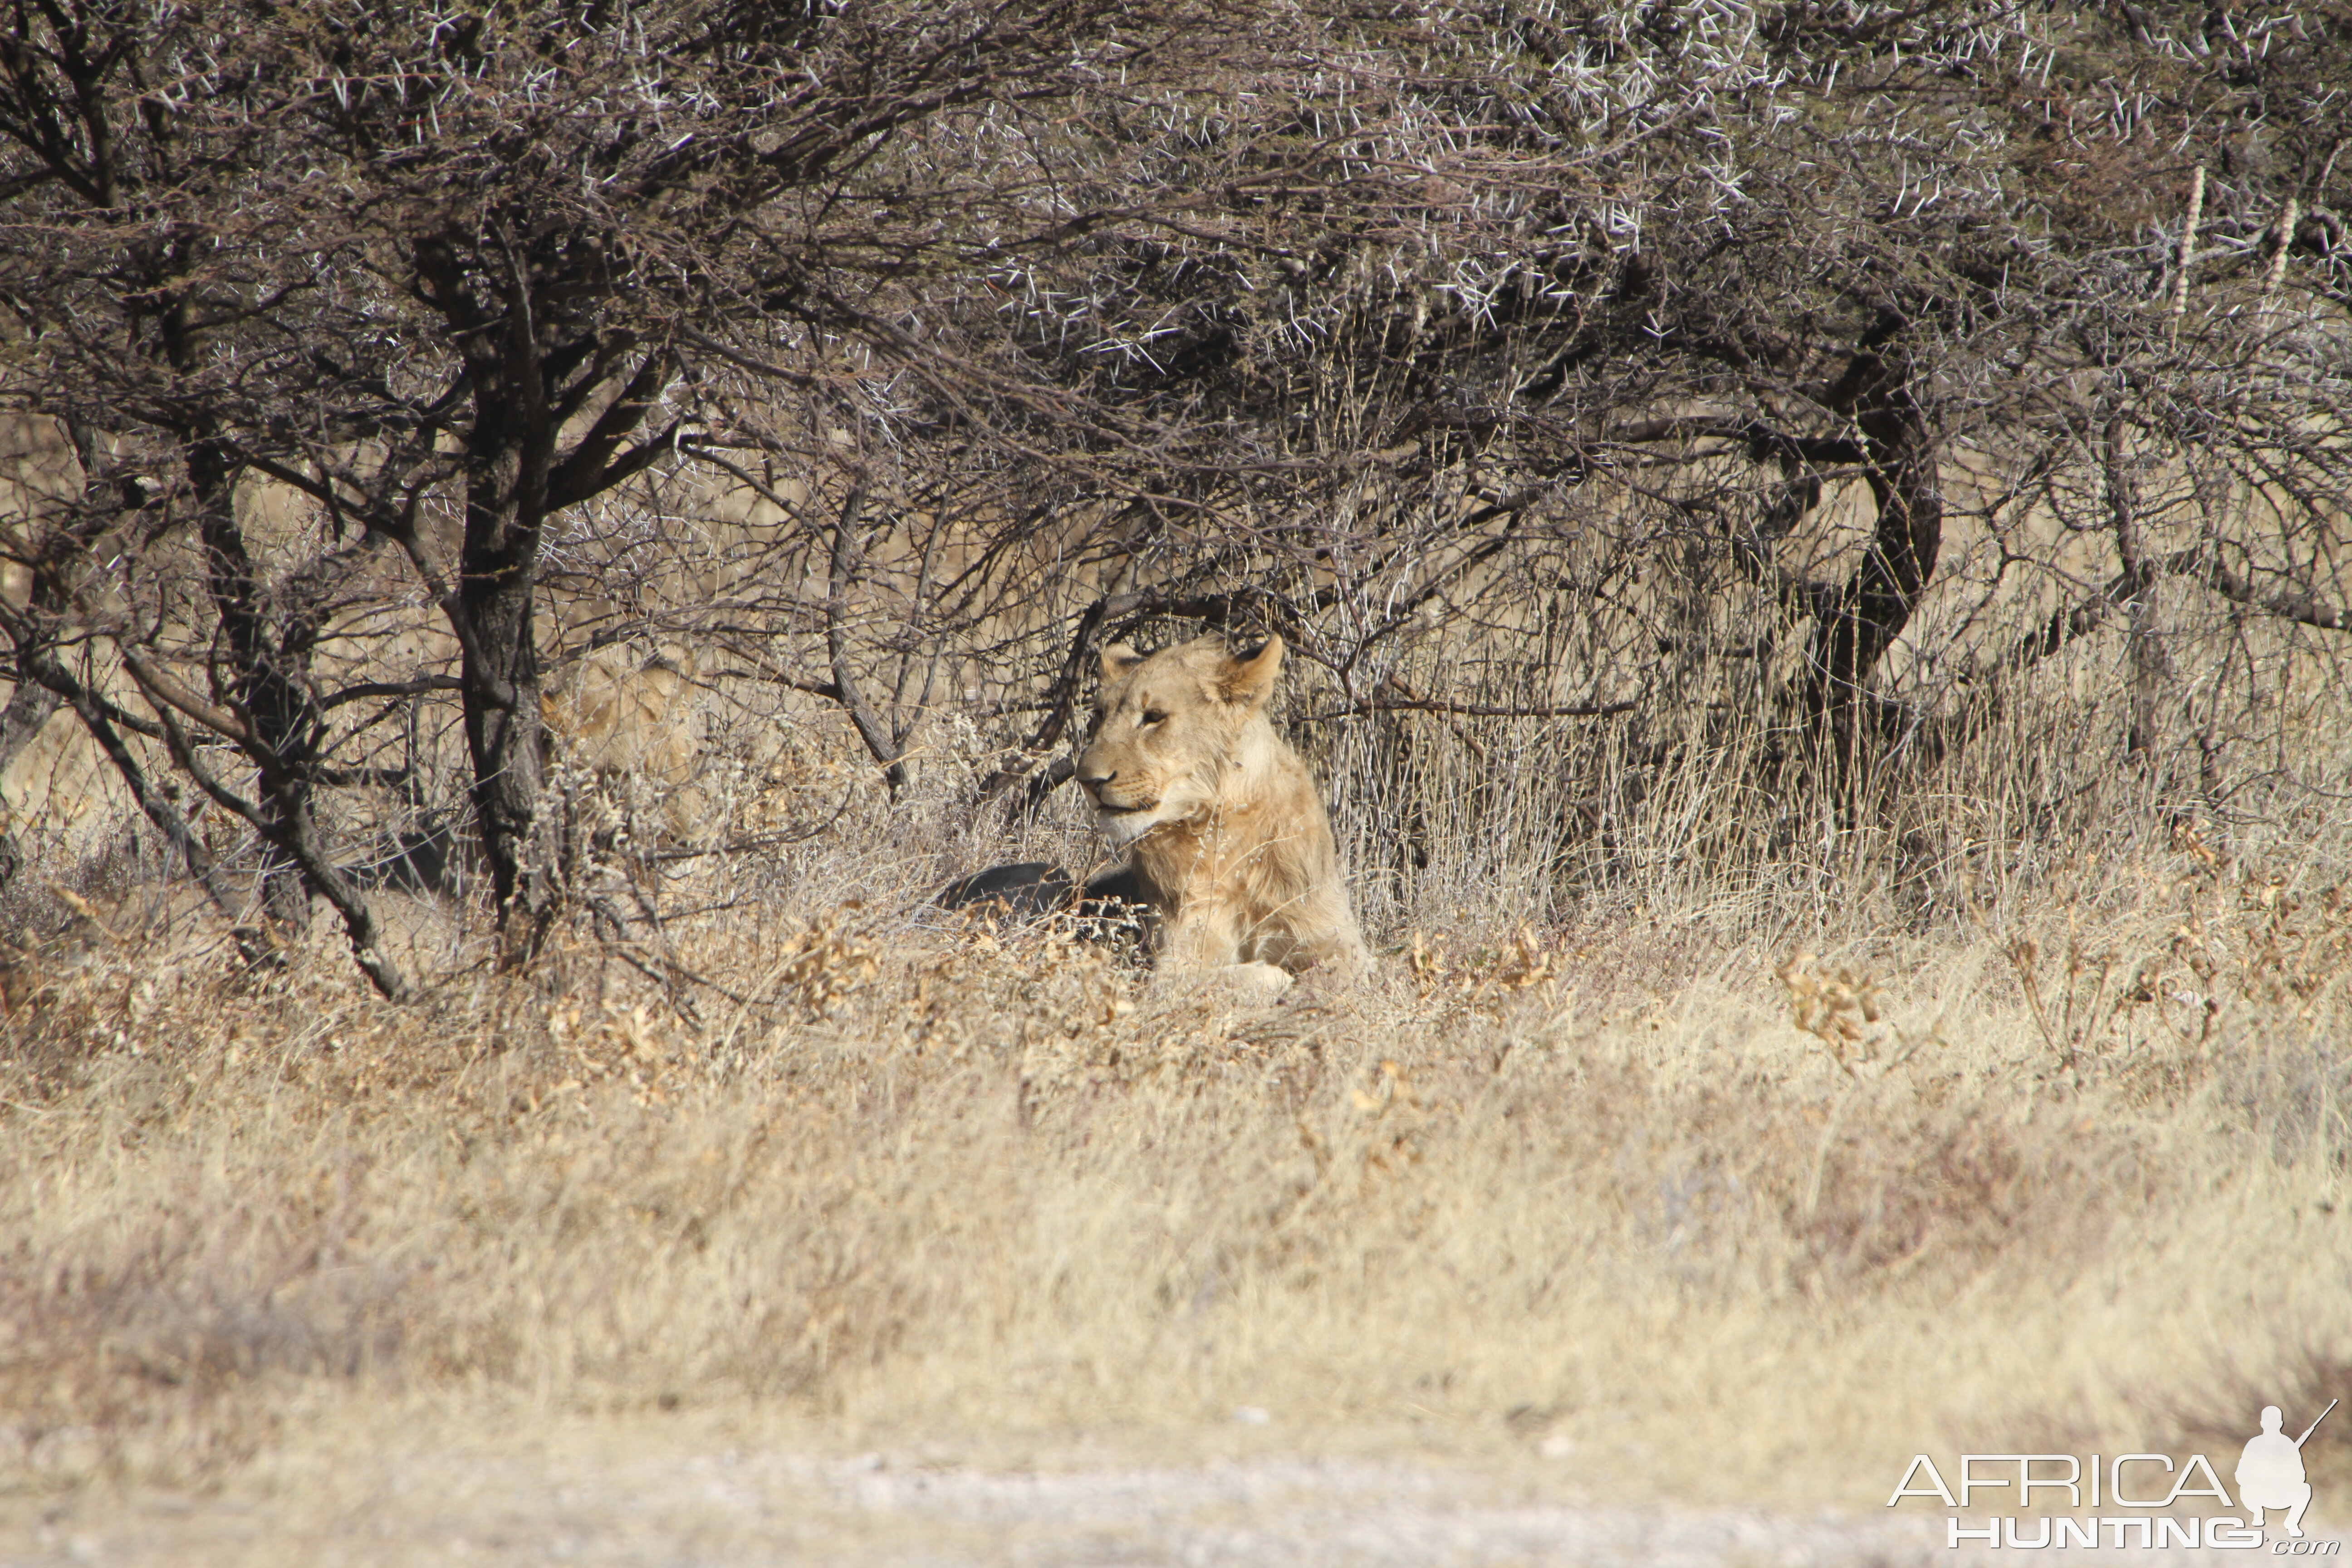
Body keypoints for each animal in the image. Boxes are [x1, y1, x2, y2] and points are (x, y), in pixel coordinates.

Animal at [1077, 630, 1373, 987]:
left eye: (1154, 717)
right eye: (1099, 716)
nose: (1087, 781)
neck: (1226, 828)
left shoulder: (1337, 938)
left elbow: (1340, 975)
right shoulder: (1173, 962)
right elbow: (1246, 977)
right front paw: (1278, 976)